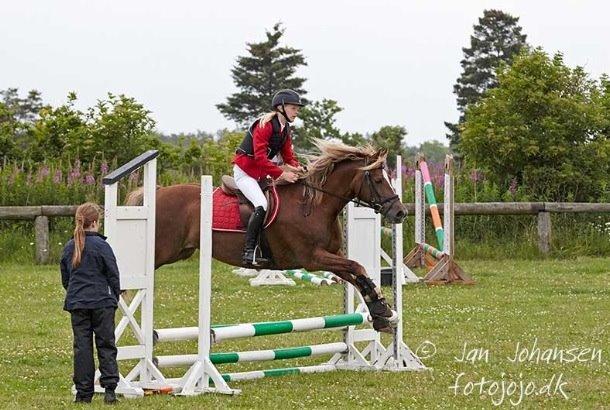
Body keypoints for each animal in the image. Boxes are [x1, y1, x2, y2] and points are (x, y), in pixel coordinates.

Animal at [126, 141, 406, 334]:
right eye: (378, 180)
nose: (400, 212)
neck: (314, 205)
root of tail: (158, 193)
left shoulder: (331, 256)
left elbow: (357, 274)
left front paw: (382, 313)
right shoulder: (312, 259)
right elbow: (356, 267)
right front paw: (382, 309)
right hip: (161, 252)